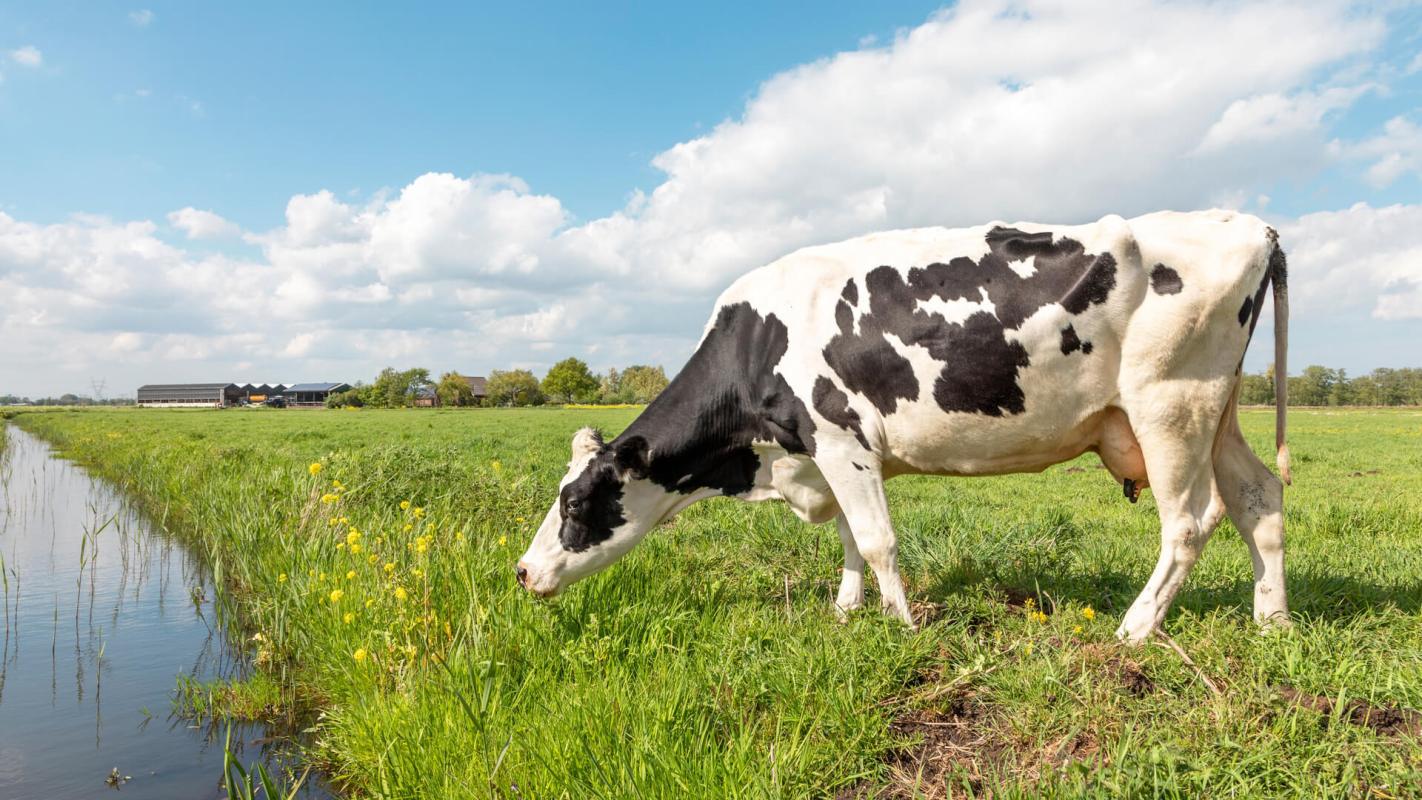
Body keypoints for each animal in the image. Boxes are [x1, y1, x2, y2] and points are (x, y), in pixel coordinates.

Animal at [520, 210, 1291, 642]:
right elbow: (848, 541)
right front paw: (846, 610)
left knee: (1189, 522)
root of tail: (1250, 225)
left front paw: (902, 626)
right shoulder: (827, 456)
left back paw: (1136, 629)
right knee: (1258, 499)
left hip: (1170, 404)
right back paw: (1271, 619)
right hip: (1217, 410)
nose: (523, 571)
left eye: (576, 502)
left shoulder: (838, 438)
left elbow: (877, 540)